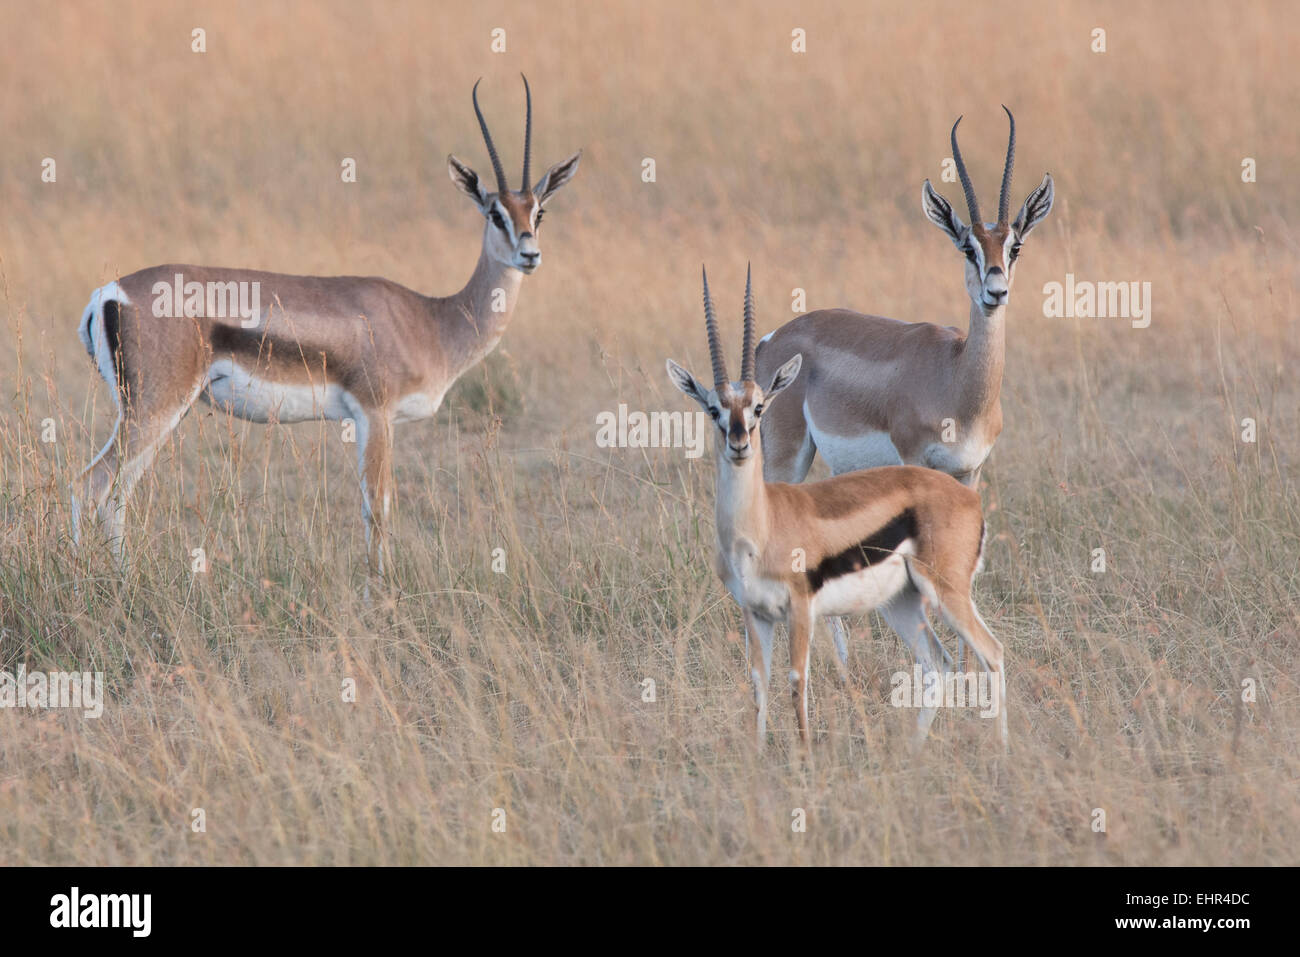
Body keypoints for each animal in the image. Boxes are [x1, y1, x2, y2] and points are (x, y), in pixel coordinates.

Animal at [71, 75, 580, 575]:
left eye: (538, 212)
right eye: (495, 213)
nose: (530, 254)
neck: (431, 321)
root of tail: (109, 292)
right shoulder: (375, 415)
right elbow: (378, 509)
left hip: (158, 414)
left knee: (117, 495)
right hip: (154, 409)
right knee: (89, 485)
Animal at [667, 266, 1006, 749]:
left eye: (758, 406)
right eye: (713, 409)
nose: (739, 443)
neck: (759, 528)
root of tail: (969, 501)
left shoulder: (800, 611)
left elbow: (797, 683)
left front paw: (805, 758)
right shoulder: (755, 614)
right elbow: (758, 684)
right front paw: (758, 755)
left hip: (945, 592)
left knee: (992, 653)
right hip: (902, 603)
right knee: (936, 664)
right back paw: (913, 752)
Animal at [753, 108, 1052, 665]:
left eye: (1015, 245)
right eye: (967, 246)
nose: (995, 290)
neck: (956, 380)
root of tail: (772, 339)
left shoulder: (971, 472)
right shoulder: (915, 463)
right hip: (786, 456)